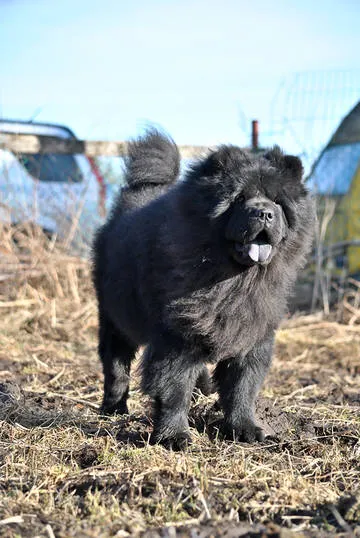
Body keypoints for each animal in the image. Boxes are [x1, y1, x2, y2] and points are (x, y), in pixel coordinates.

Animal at [93, 127, 316, 446]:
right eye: (239, 198)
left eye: (277, 202)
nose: (263, 213)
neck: (235, 283)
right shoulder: (177, 336)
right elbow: (173, 388)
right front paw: (174, 436)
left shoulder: (253, 333)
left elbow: (242, 388)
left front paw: (246, 429)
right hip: (115, 317)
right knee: (115, 365)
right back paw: (114, 408)